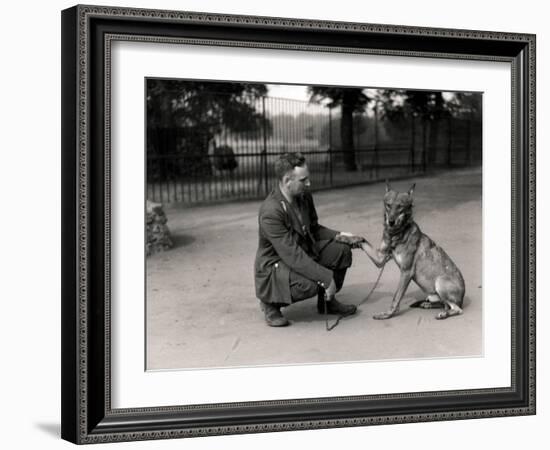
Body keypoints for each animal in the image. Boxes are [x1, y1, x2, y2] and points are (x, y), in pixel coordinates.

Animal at [362, 183, 466, 320]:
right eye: (388, 205)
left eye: (400, 207)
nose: (391, 221)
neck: (396, 235)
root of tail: (462, 299)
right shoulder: (380, 259)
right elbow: (361, 240)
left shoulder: (406, 272)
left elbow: (396, 297)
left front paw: (388, 314)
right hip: (433, 295)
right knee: (444, 304)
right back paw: (428, 305)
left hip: (440, 282)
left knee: (456, 309)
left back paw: (443, 314)